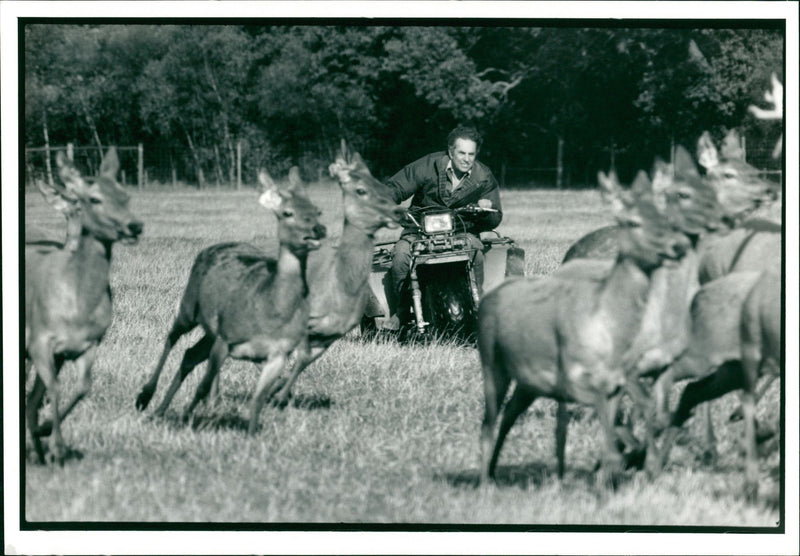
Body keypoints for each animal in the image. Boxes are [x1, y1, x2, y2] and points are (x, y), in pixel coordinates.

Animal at [24, 149, 144, 464]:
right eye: (94, 199)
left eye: (126, 195)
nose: (135, 226)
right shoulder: (39, 340)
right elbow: (53, 389)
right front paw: (57, 446)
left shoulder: (86, 344)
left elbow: (82, 387)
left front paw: (47, 434)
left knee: (31, 398)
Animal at [134, 167, 324, 432]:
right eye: (287, 213)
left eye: (317, 210)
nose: (318, 229)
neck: (270, 310)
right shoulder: (225, 339)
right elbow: (203, 387)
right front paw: (185, 419)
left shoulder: (279, 353)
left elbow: (258, 399)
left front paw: (252, 433)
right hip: (190, 305)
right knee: (172, 336)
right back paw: (145, 397)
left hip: (210, 330)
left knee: (189, 354)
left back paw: (160, 409)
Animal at [478, 166, 708, 486]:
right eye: (633, 222)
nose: (679, 245)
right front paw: (628, 463)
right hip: (495, 366)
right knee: (495, 421)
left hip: (527, 378)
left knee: (512, 412)